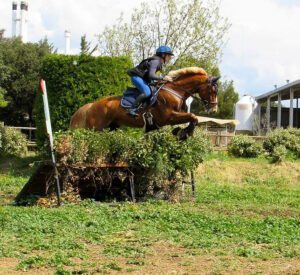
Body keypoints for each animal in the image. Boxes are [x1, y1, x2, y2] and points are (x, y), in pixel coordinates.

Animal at [69, 67, 220, 138]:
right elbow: (193, 116)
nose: (213, 110)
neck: (175, 90)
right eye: (213, 90)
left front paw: (181, 132)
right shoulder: (168, 117)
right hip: (96, 129)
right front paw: (185, 133)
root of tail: (91, 106)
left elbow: (193, 118)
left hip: (110, 127)